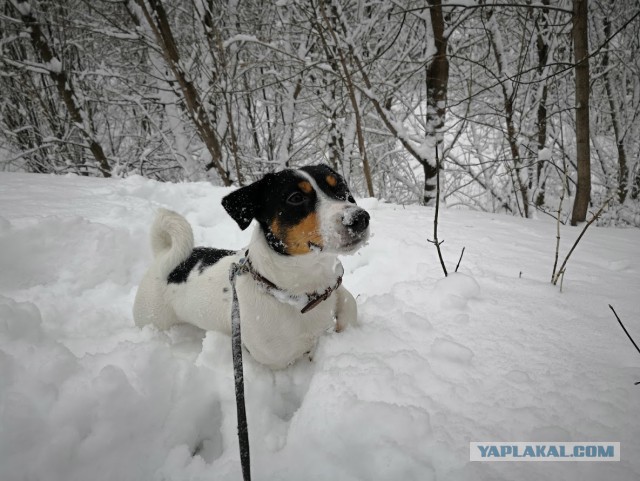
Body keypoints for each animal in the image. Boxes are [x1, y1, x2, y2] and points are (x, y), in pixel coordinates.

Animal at [134, 164, 370, 368]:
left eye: (341, 189)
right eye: (295, 198)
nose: (360, 218)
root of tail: (163, 258)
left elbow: (348, 302)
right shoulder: (277, 360)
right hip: (153, 318)